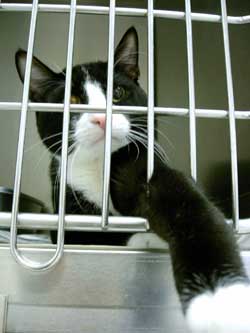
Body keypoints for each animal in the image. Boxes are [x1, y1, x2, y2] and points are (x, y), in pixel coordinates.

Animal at [15, 27, 250, 330]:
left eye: (118, 92)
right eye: (72, 101)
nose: (102, 118)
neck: (101, 166)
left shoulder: (143, 163)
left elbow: (190, 205)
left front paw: (221, 299)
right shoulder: (66, 201)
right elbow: (95, 237)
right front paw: (144, 239)